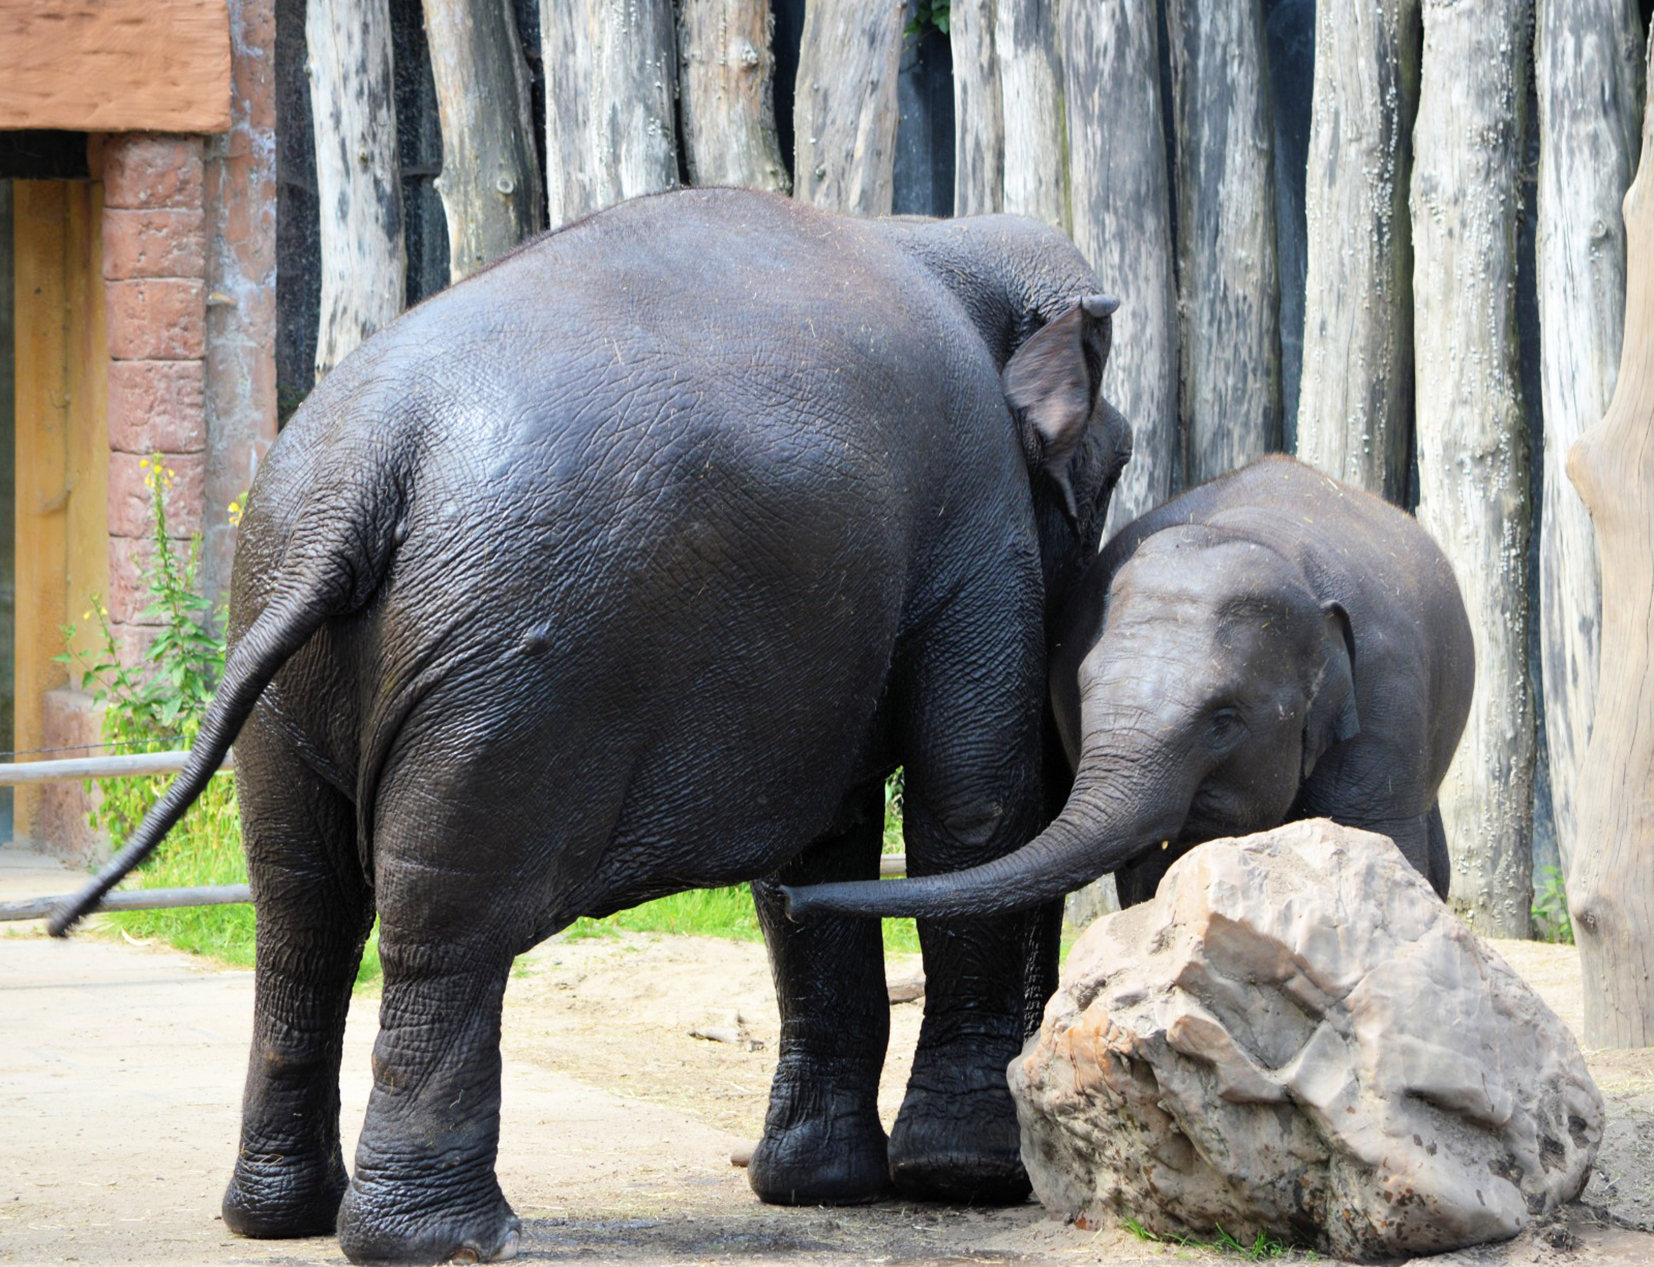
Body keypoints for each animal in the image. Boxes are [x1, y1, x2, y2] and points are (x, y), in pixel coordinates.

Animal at [54, 188, 1137, 1267]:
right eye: (1118, 464)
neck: (942, 235)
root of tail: (367, 475)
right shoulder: (979, 514)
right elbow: (974, 806)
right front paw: (966, 1178)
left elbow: (818, 853)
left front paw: (822, 1185)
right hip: (509, 671)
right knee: (447, 911)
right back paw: (449, 1239)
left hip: (284, 643)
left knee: (300, 905)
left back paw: (280, 1217)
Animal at [787, 456, 1475, 926]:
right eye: (1081, 692)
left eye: (1224, 720)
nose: (790, 897)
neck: (1257, 536)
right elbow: (1149, 874)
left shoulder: (1388, 697)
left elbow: (1381, 840)